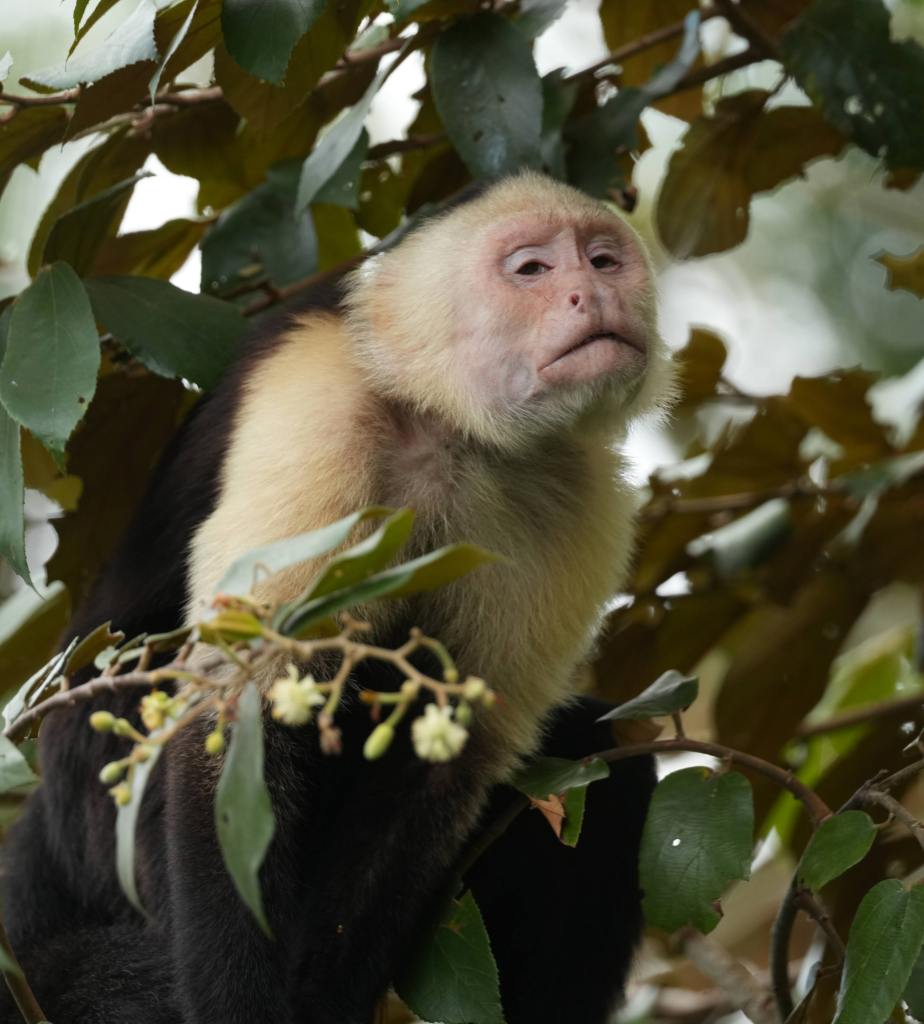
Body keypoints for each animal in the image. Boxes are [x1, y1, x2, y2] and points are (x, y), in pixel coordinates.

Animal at [0, 171, 673, 1024]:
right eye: (531, 270)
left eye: (604, 259)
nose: (593, 293)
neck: (452, 426)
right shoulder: (318, 401)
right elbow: (238, 712)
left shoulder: (578, 501)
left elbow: (442, 766)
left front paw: (325, 995)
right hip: (96, 825)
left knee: (599, 760)